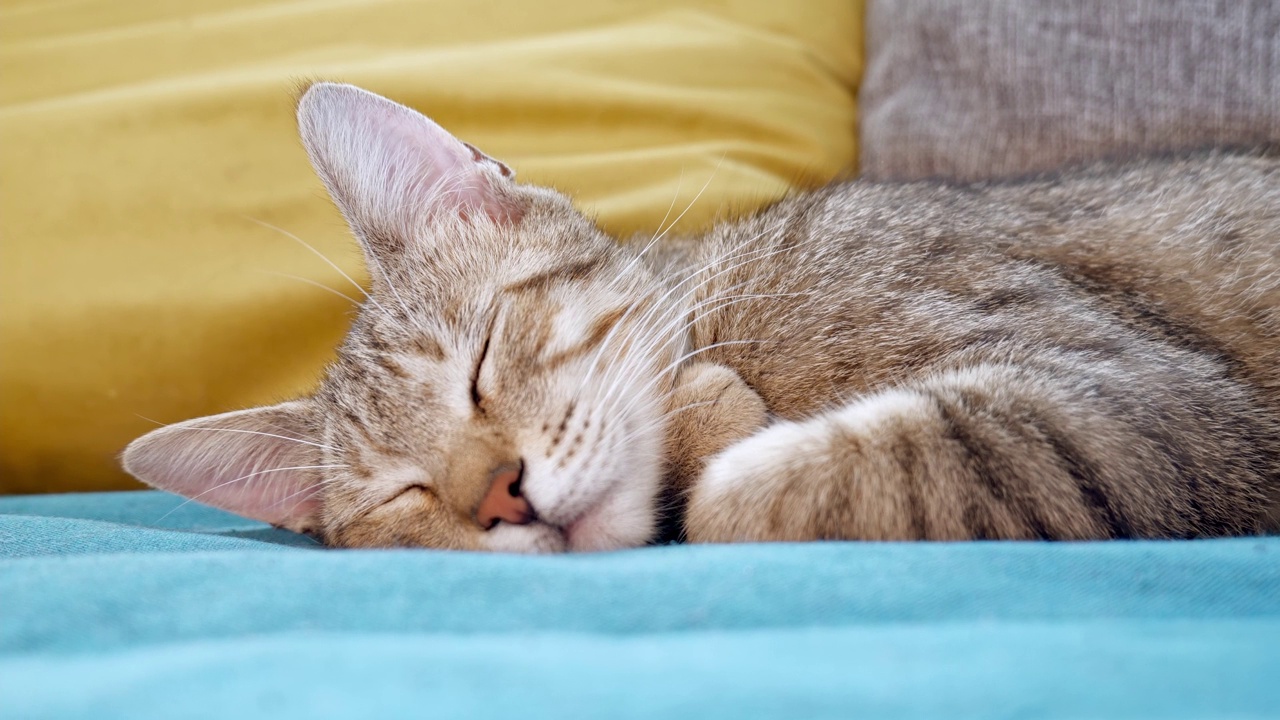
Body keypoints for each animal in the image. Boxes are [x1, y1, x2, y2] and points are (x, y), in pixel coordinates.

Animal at [122, 81, 1280, 548]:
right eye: (405, 496)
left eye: (480, 367)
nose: (498, 497)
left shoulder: (1138, 400)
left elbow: (755, 490)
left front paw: (705, 421)